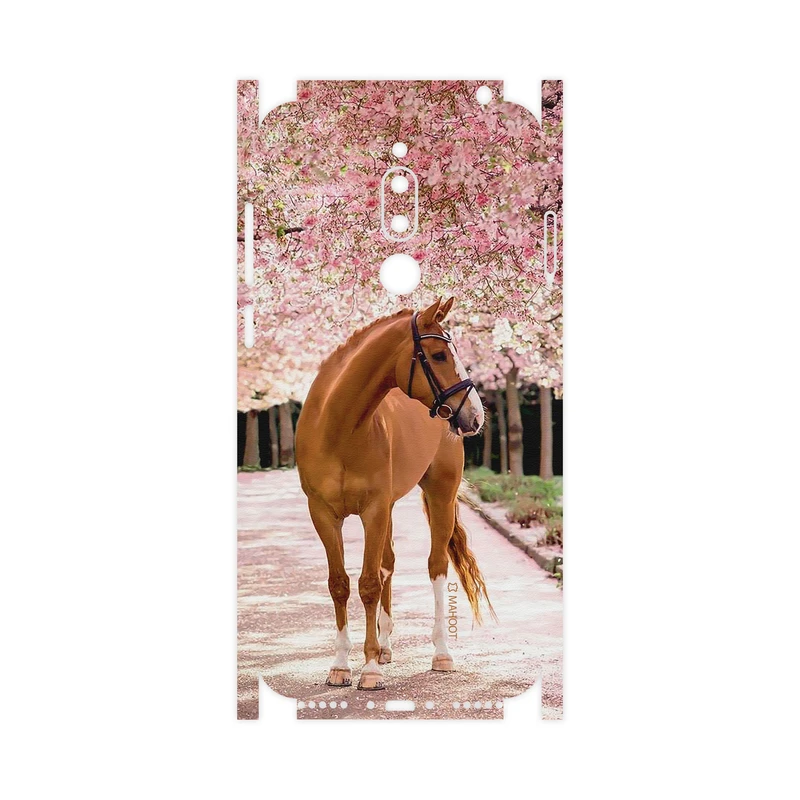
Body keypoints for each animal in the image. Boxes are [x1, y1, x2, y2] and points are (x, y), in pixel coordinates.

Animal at [295, 297, 494, 690]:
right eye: (438, 355)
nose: (476, 416)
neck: (338, 428)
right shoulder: (324, 514)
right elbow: (340, 584)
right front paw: (341, 665)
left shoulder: (373, 510)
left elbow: (369, 584)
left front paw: (369, 669)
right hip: (387, 508)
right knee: (388, 563)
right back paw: (385, 646)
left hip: (439, 494)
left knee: (435, 566)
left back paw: (441, 653)